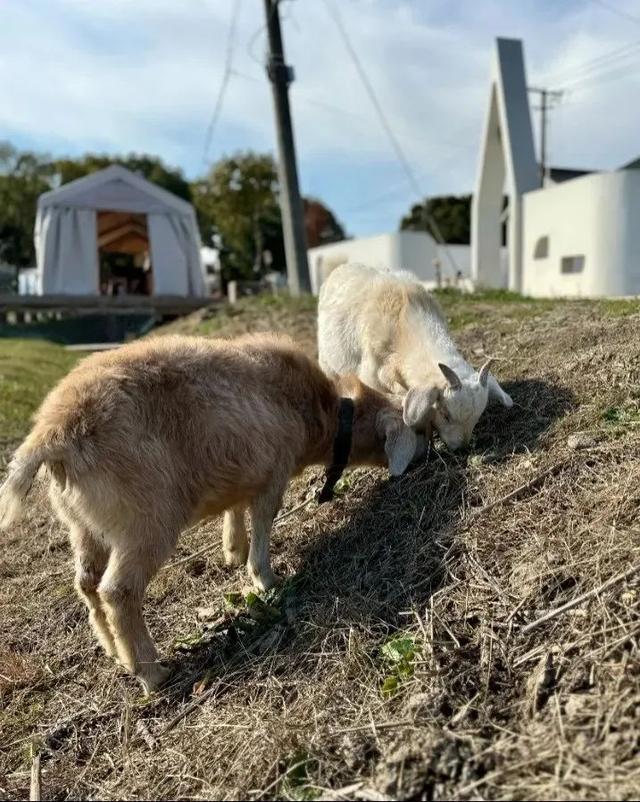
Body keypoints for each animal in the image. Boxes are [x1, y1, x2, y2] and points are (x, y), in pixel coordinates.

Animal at [0, 332, 424, 688]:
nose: (425, 454)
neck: (322, 414)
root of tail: (53, 434)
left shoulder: (243, 471)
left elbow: (234, 509)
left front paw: (233, 551)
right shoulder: (274, 472)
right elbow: (264, 520)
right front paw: (265, 579)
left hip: (85, 526)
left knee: (87, 585)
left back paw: (115, 652)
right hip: (145, 522)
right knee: (118, 591)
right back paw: (152, 672)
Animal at [318, 262, 512, 450]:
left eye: (477, 418)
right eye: (445, 414)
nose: (461, 448)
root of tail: (340, 268)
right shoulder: (372, 375)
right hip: (327, 362)